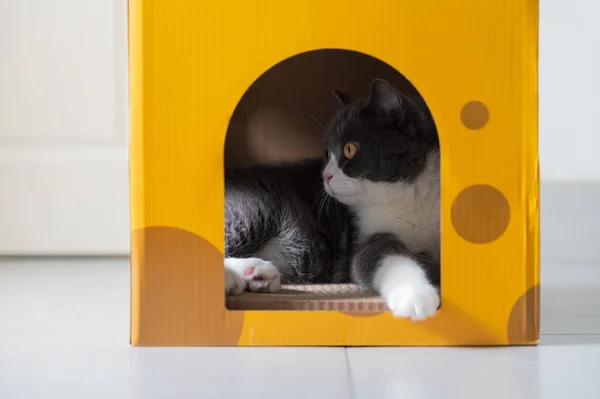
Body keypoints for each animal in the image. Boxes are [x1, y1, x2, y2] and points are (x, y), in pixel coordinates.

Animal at [223, 78, 438, 322]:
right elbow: (380, 257)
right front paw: (416, 297)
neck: (409, 193)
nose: (325, 175)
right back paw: (246, 272)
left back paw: (255, 276)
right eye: (327, 154)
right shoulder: (364, 237)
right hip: (252, 209)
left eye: (349, 148)